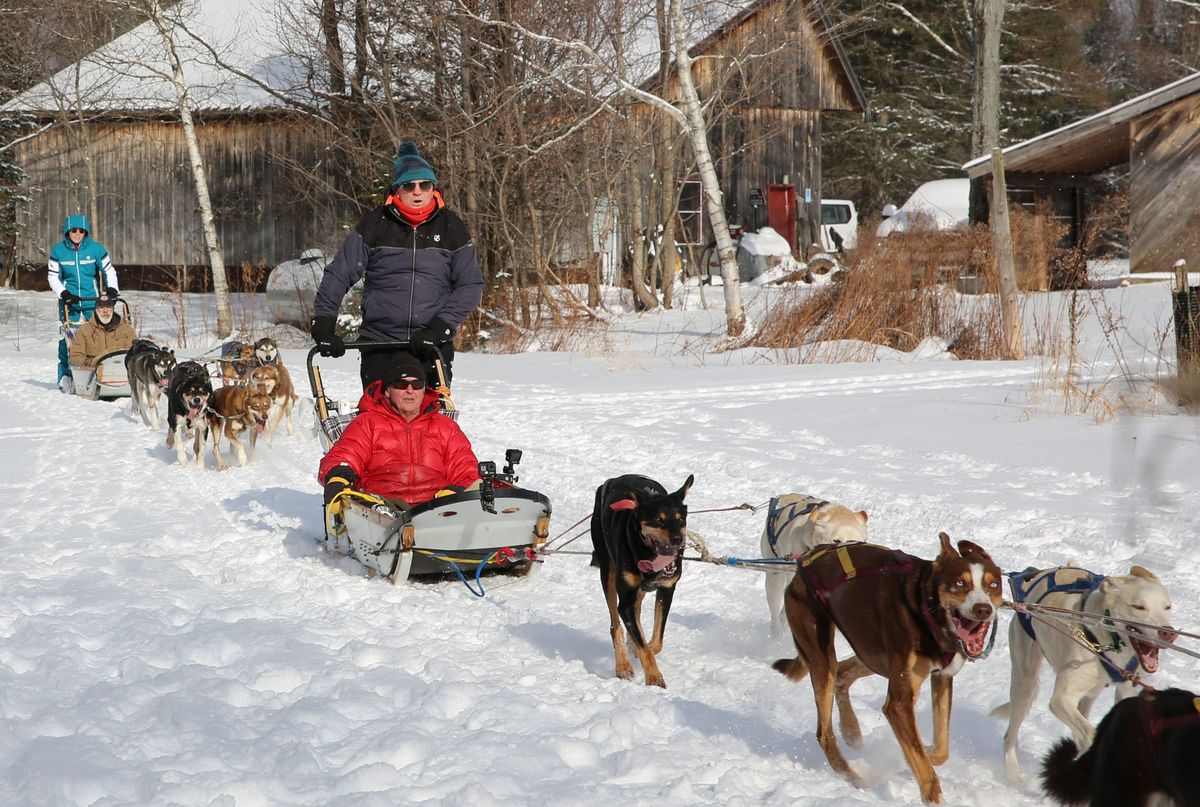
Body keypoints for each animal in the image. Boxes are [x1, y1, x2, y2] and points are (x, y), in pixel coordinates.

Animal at [590, 475, 696, 691]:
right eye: (658, 520)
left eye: (680, 519)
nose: (678, 539)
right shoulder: (625, 602)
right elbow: (643, 644)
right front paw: (655, 679)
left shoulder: (667, 589)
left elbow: (654, 643)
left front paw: (642, 650)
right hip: (608, 573)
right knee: (615, 625)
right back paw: (623, 666)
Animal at [763, 492, 868, 638]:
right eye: (836, 540)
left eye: (859, 542)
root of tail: (783, 496)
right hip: (775, 577)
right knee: (775, 609)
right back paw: (776, 633)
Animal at [988, 562, 1176, 782]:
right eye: (1138, 607)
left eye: (1167, 607)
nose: (1168, 633)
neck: (1108, 637)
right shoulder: (1060, 700)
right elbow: (1090, 732)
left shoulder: (1125, 690)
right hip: (1024, 684)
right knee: (1011, 736)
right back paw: (1014, 779)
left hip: (1089, 693)